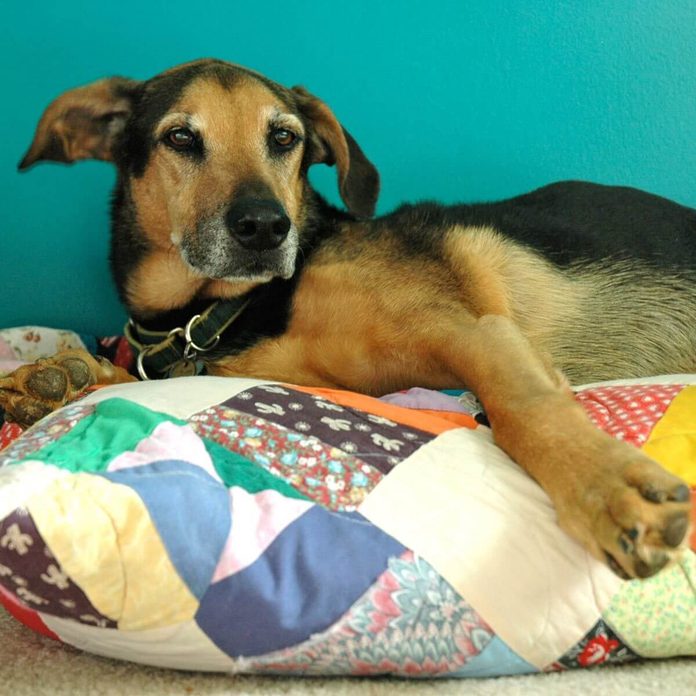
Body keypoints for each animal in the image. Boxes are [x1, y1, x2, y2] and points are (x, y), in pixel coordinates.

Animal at [1, 58, 696, 580]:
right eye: (180, 137)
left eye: (284, 138)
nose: (265, 228)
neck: (236, 307)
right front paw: (61, 376)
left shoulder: (475, 332)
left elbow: (527, 412)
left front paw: (610, 490)